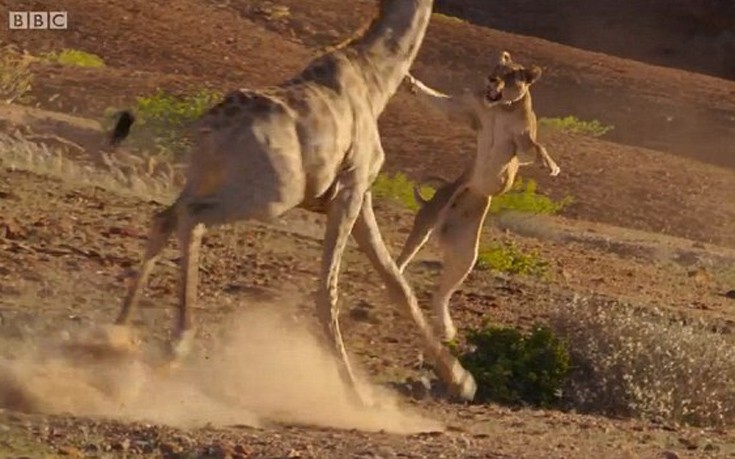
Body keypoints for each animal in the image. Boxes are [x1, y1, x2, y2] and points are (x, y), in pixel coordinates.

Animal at [109, 0, 478, 402]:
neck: (376, 81)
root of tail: (210, 130)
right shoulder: (350, 189)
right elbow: (328, 289)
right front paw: (357, 395)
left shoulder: (360, 195)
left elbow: (398, 285)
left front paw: (463, 381)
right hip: (269, 195)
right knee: (192, 218)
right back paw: (175, 346)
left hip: (203, 180)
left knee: (164, 219)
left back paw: (116, 335)